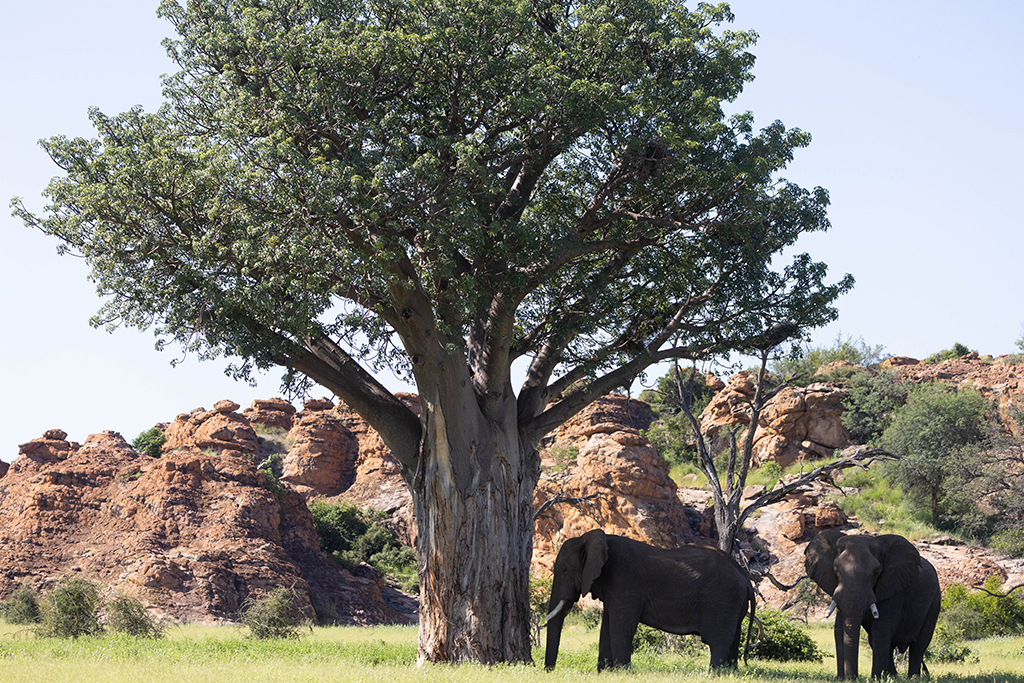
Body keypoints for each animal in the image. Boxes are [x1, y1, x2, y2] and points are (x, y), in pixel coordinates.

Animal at [544, 529, 755, 671]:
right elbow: (607, 626)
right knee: (734, 637)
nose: (549, 670)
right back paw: (729, 673)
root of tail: (746, 578)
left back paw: (713, 674)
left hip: (722, 599)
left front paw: (622, 672)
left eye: (564, 570)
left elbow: (622, 627)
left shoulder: (625, 583)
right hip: (732, 601)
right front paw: (604, 672)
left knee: (718, 640)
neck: (588, 539)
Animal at [804, 529, 941, 679]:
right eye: (836, 570)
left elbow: (881, 630)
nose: (853, 678)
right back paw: (892, 676)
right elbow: (839, 629)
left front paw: (875, 679)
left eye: (876, 572)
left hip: (935, 600)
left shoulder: (893, 589)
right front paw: (841, 679)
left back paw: (911, 678)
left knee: (919, 645)